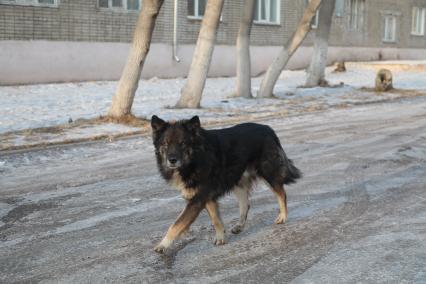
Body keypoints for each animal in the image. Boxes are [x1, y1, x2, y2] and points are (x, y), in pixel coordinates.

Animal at [151, 115, 302, 253]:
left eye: (182, 143)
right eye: (165, 144)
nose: (172, 160)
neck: (196, 158)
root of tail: (268, 129)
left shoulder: (197, 199)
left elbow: (176, 224)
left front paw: (163, 245)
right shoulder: (206, 197)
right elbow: (215, 219)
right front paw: (221, 237)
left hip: (267, 173)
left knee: (281, 193)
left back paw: (282, 216)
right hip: (238, 181)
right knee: (245, 204)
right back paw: (239, 226)